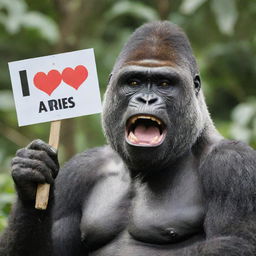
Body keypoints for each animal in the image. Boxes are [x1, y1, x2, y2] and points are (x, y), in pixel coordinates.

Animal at [0, 21, 256, 255]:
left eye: (164, 84)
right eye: (134, 82)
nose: (146, 99)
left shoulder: (233, 164)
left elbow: (235, 242)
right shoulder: (79, 171)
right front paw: (30, 181)